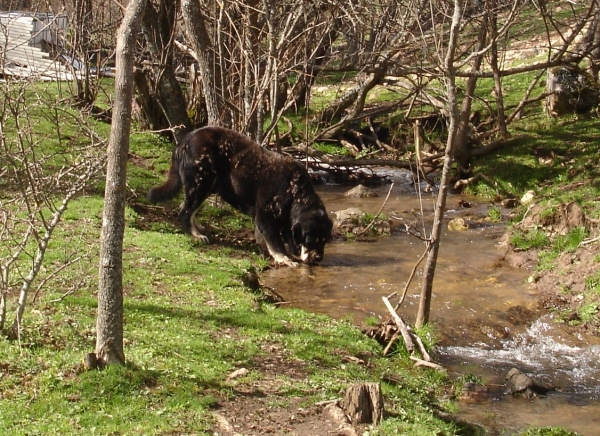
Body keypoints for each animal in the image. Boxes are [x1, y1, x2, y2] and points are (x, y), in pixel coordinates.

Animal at [145, 126, 332, 266]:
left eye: (324, 240)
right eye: (311, 239)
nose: (319, 258)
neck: (294, 193)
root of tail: (184, 141)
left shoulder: (285, 222)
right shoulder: (265, 217)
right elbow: (276, 243)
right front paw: (283, 258)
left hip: (207, 185)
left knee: (186, 208)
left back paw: (198, 228)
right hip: (201, 182)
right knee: (184, 211)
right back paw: (195, 234)